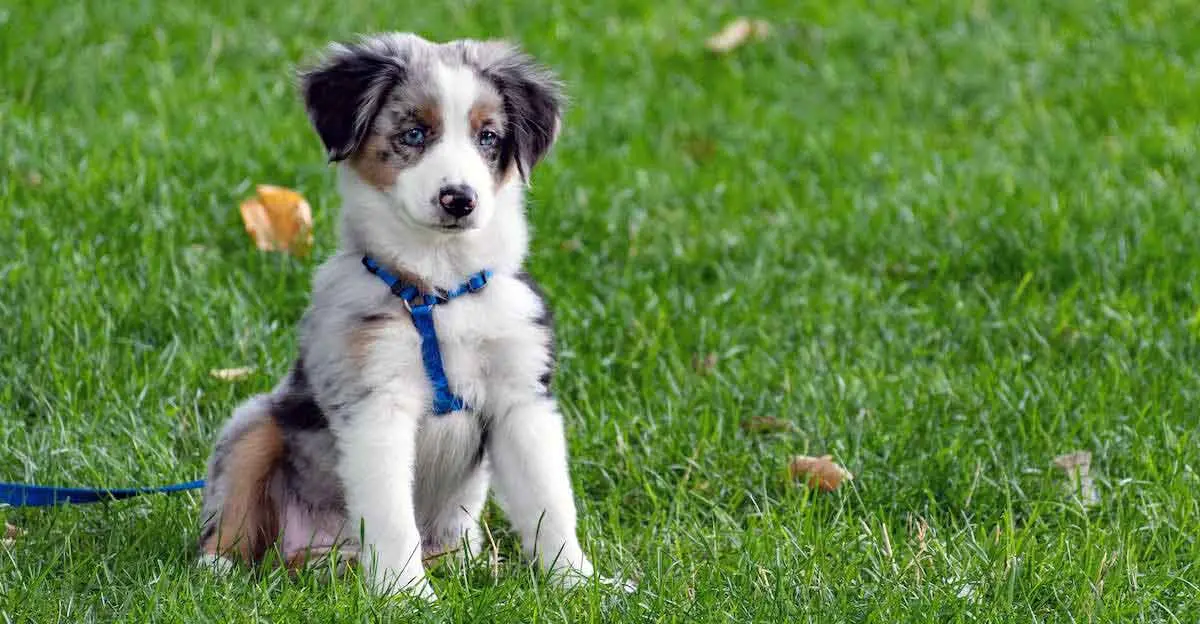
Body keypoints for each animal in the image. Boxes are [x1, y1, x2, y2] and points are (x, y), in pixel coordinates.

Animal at [194, 32, 628, 600]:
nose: (458, 199)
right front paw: (407, 596)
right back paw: (217, 571)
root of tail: (321, 556)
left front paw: (579, 583)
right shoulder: (376, 404)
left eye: (488, 137)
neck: (440, 289)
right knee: (233, 511)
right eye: (414, 133)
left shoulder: (522, 401)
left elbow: (550, 504)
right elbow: (391, 514)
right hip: (255, 422)